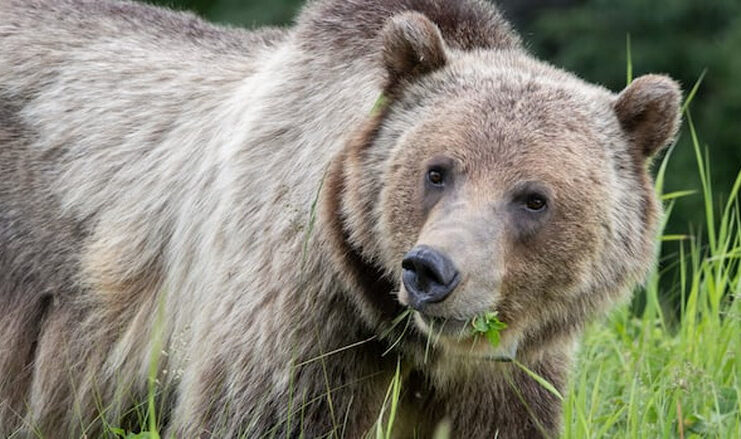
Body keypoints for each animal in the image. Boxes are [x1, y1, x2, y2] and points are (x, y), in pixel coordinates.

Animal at [0, 0, 681, 437]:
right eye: (438, 170)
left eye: (533, 198)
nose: (432, 271)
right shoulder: (299, 313)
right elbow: (265, 416)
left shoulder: (507, 369)